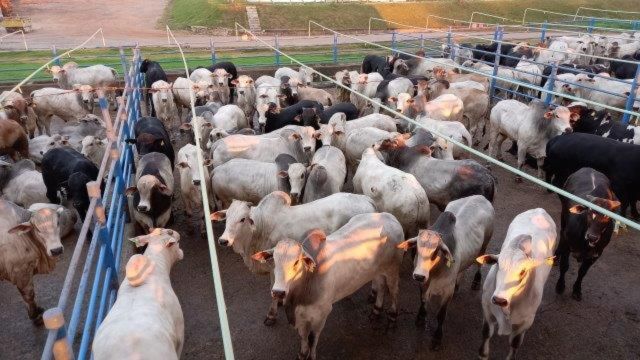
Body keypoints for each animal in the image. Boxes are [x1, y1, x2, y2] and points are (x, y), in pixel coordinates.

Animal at [478, 208, 556, 360]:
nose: (499, 299)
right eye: (498, 264)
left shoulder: (524, 323)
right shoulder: (487, 310)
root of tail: (540, 210)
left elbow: (514, 344)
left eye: (523, 271)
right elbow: (485, 335)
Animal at [556, 169, 620, 300]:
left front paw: (577, 290)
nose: (592, 237)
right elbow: (564, 266)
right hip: (563, 219)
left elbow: (582, 272)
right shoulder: (567, 243)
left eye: (608, 216)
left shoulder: (596, 254)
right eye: (590, 211)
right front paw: (560, 286)